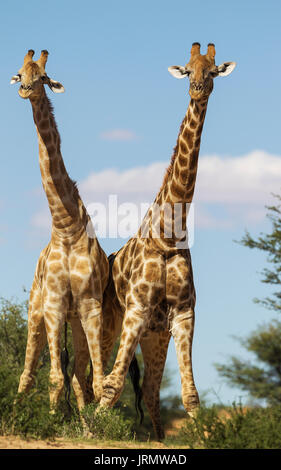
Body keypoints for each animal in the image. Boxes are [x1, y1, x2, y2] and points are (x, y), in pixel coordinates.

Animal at [10, 49, 108, 414]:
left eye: (42, 77)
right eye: (20, 72)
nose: (24, 90)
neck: (66, 228)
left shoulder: (90, 305)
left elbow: (96, 381)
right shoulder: (52, 303)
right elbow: (53, 378)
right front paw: (52, 420)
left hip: (75, 319)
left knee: (79, 376)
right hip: (35, 312)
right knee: (26, 375)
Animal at [98, 42, 234, 438]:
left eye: (213, 71)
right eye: (188, 70)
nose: (198, 89)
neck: (169, 234)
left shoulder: (184, 313)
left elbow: (190, 395)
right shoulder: (137, 309)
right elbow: (111, 385)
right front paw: (90, 431)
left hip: (155, 335)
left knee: (153, 390)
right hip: (111, 322)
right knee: (93, 374)